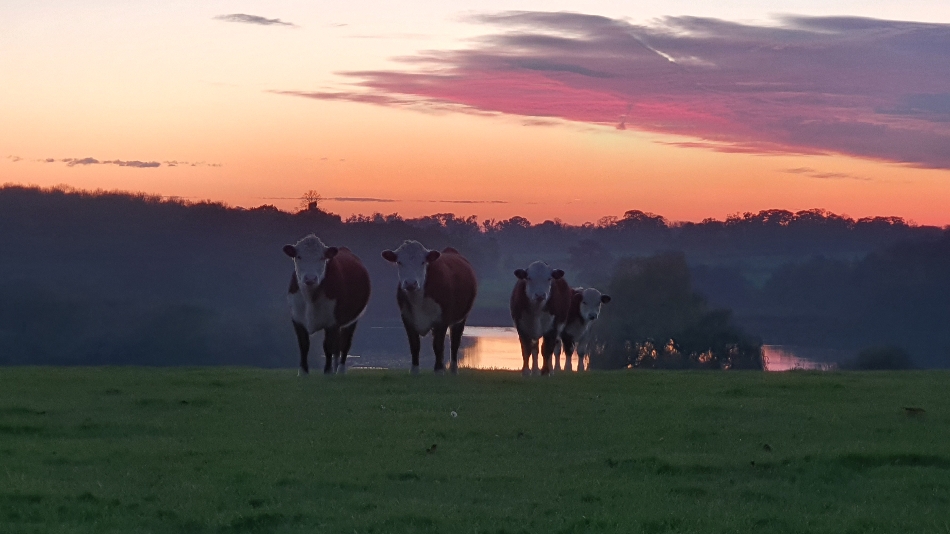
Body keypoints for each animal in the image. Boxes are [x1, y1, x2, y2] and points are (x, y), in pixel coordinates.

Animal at [282, 234, 372, 376]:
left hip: (352, 320)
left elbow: (328, 346)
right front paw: (303, 372)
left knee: (345, 344)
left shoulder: (332, 322)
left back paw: (340, 371)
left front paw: (328, 371)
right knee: (338, 346)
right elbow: (303, 344)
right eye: (299, 256)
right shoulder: (297, 319)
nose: (310, 278)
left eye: (322, 257)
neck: (310, 298)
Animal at [384, 241, 480, 374]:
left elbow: (438, 345)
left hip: (461, 318)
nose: (410, 283)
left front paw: (438, 370)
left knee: (455, 343)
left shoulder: (443, 319)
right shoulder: (407, 318)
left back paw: (453, 370)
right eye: (399, 262)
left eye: (423, 262)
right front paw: (414, 371)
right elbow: (414, 345)